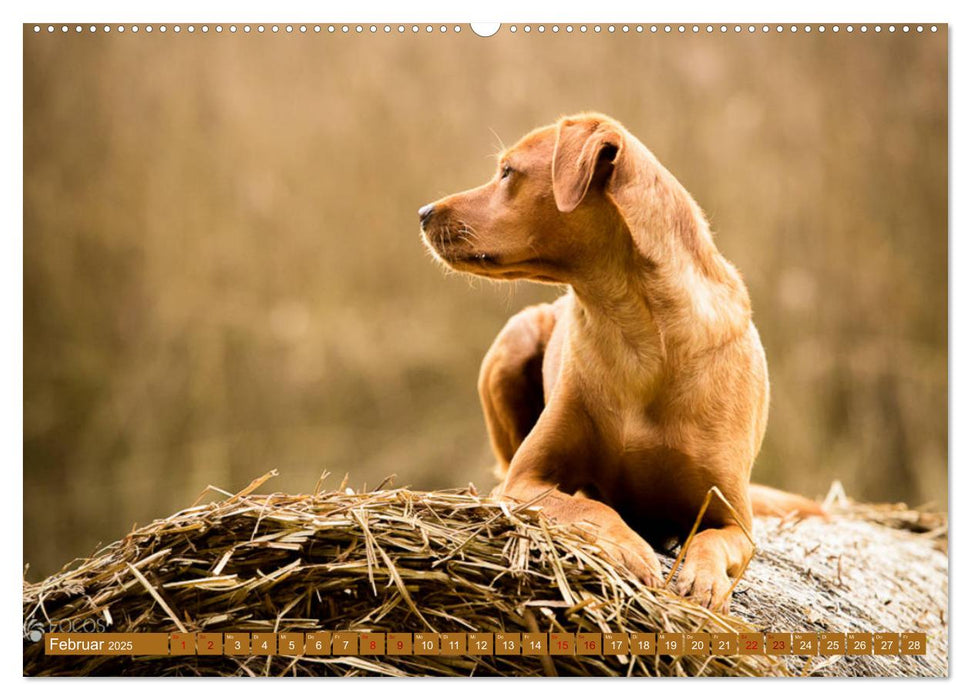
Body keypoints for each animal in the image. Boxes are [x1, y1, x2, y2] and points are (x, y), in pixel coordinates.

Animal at [418, 112, 820, 608]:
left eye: (507, 172)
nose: (423, 213)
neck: (636, 333)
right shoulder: (527, 480)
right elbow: (592, 506)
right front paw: (629, 549)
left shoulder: (734, 519)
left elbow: (712, 540)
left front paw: (703, 582)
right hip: (515, 340)